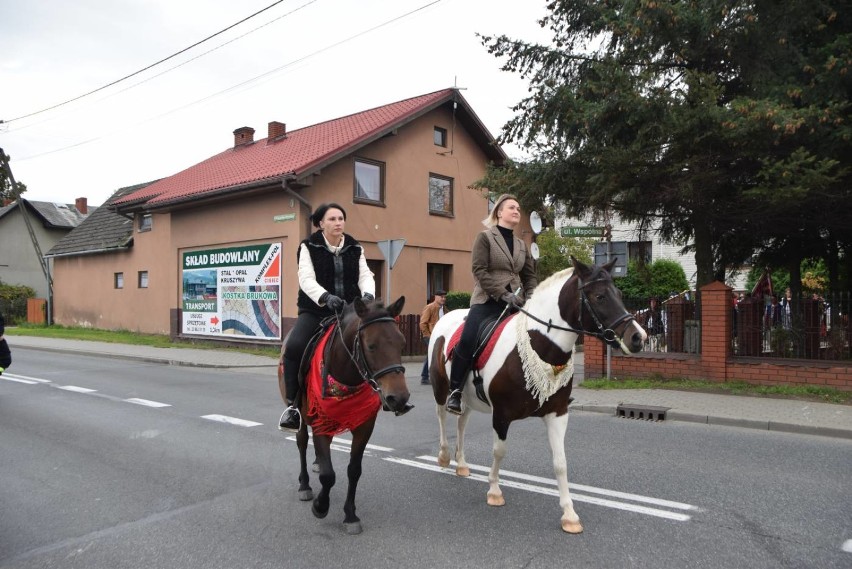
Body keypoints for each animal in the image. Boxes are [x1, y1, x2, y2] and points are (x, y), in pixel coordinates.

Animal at [280, 296, 410, 536]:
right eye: (371, 345)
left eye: (402, 343)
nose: (399, 398)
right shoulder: (320, 424)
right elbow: (328, 476)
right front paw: (321, 506)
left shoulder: (364, 428)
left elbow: (354, 470)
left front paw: (350, 515)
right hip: (300, 418)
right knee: (302, 444)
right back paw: (305, 485)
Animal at [426, 258, 644, 532]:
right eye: (599, 296)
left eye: (620, 294)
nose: (638, 337)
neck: (539, 345)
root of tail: (447, 317)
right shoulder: (501, 415)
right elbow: (499, 451)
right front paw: (494, 490)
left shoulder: (558, 413)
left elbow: (560, 462)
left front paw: (569, 515)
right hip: (441, 389)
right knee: (442, 416)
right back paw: (445, 456)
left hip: (467, 398)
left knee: (461, 422)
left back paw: (462, 464)